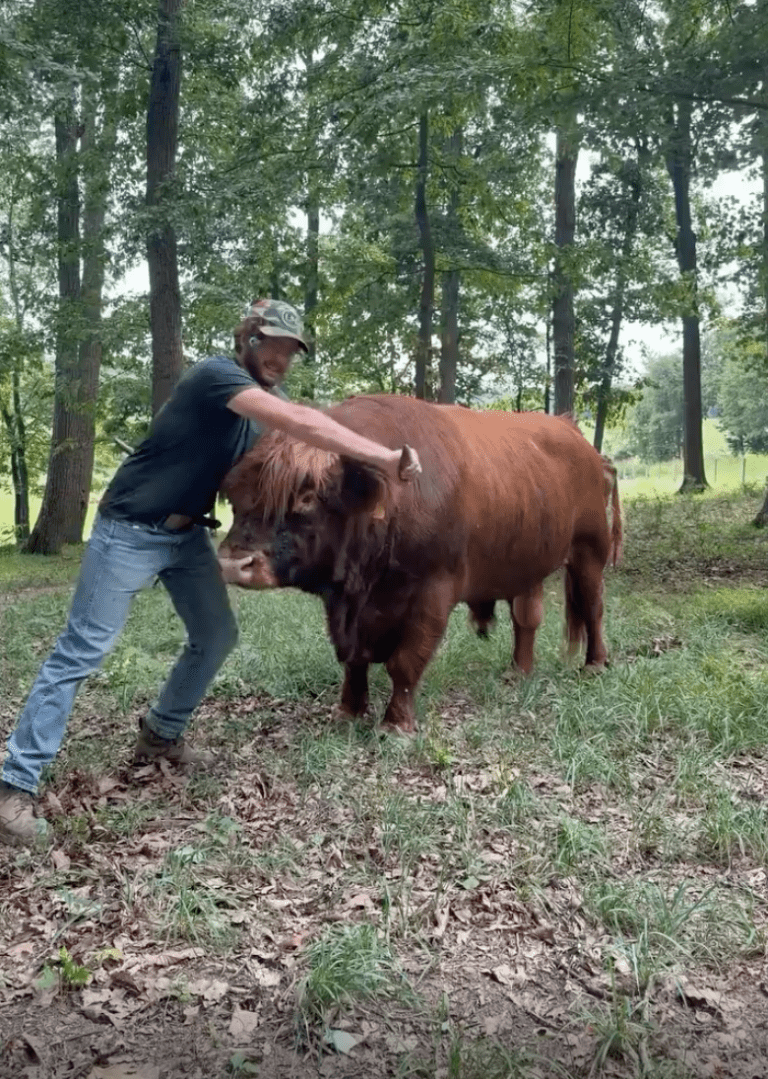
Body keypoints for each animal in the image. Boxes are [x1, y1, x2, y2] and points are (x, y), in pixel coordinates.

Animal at [218, 395, 622, 734]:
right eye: (235, 497)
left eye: (306, 496)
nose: (234, 563)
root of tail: (576, 435)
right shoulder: (346, 608)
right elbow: (354, 660)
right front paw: (349, 712)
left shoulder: (433, 593)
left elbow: (406, 662)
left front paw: (396, 727)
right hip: (526, 560)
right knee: (527, 618)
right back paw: (518, 672)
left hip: (589, 550)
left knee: (592, 607)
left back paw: (595, 664)